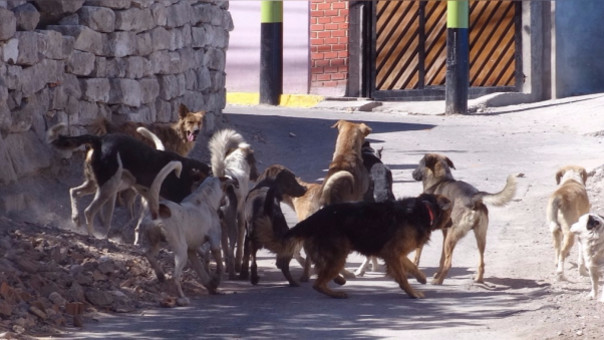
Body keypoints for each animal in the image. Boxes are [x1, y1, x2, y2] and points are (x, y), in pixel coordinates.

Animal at [46, 123, 210, 238]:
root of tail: (100, 140)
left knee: (73, 191)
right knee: (89, 211)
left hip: (96, 184)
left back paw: (76, 219)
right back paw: (93, 234)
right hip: (108, 187)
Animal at [142, 161, 231, 306]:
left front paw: (211, 285)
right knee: (175, 276)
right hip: (180, 251)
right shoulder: (214, 243)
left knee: (148, 254)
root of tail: (157, 210)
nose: (225, 201)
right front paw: (216, 281)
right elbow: (219, 266)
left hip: (155, 242)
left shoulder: (192, 251)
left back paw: (160, 275)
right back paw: (182, 298)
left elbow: (202, 271)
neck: (204, 198)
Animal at [280, 193, 450, 298]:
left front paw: (421, 278)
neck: (424, 209)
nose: (452, 223)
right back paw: (337, 292)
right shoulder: (392, 252)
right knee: (318, 283)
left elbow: (411, 266)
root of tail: (315, 218)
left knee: (320, 268)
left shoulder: (395, 253)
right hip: (339, 253)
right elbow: (402, 277)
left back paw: (339, 279)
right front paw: (412, 293)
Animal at [412, 153, 516, 284]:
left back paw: (438, 281)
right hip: (480, 237)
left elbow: (417, 256)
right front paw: (436, 273)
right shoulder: (445, 233)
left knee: (449, 263)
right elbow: (441, 258)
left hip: (452, 237)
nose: (412, 173)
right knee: (481, 262)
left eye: (419, 164)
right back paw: (478, 279)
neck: (440, 180)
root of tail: (473, 198)